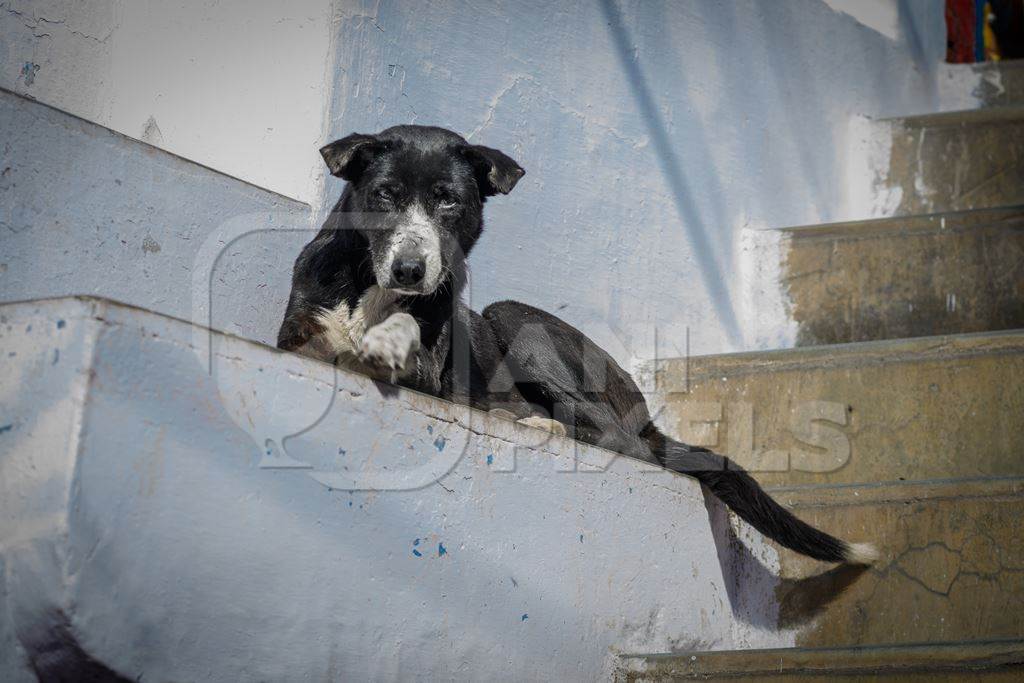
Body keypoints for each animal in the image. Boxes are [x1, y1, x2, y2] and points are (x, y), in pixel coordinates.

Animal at [276, 124, 876, 565]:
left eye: (448, 202)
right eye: (385, 196)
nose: (410, 270)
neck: (374, 289)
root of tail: (643, 407)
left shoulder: (429, 368)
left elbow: (399, 340)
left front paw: (384, 342)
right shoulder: (296, 332)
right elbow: (317, 342)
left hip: (516, 321)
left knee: (621, 441)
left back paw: (542, 424)